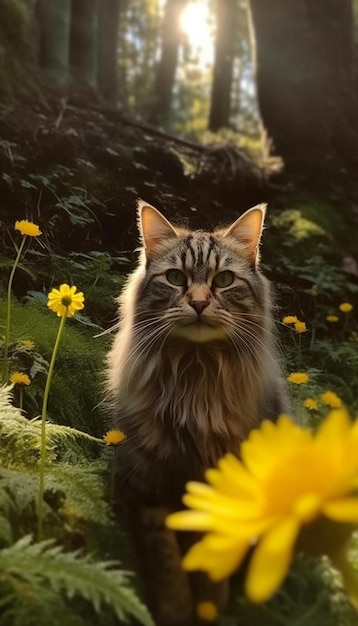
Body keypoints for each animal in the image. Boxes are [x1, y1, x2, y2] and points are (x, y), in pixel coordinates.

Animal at [105, 200, 288, 624]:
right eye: (175, 277)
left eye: (223, 280)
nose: (200, 302)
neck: (194, 378)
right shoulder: (146, 482)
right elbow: (167, 556)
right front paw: (175, 607)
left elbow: (212, 551)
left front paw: (209, 604)